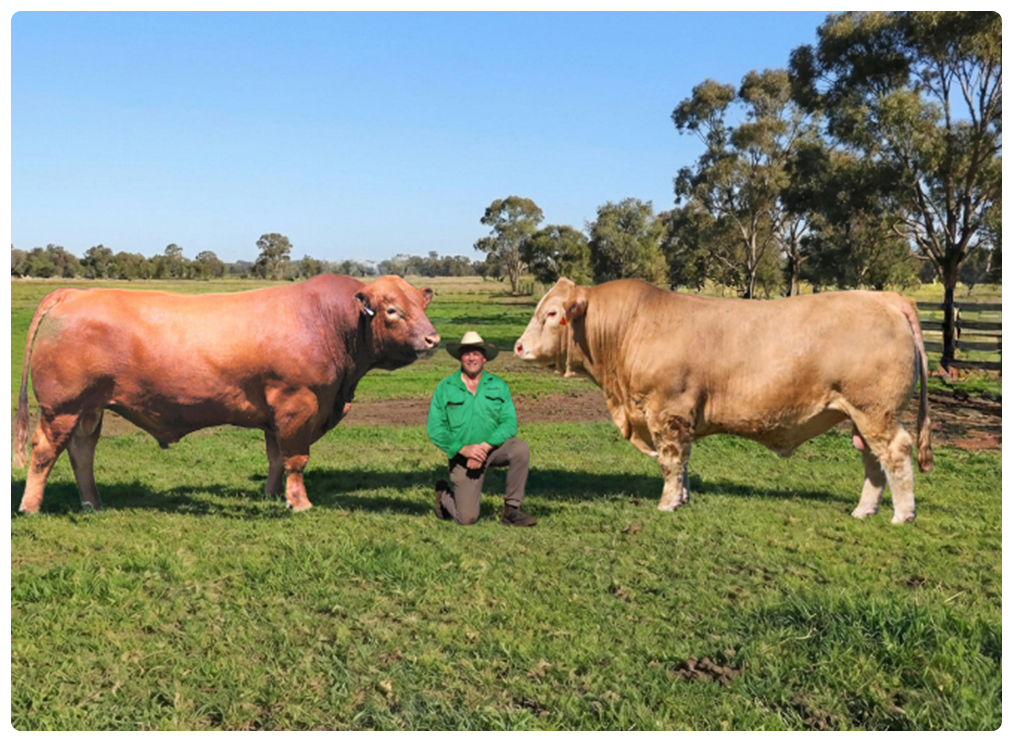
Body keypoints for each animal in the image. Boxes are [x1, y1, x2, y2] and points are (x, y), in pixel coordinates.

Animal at [13, 274, 440, 514]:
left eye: (420, 305)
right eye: (391, 310)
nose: (433, 339)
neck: (329, 322)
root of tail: (74, 292)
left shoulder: (276, 412)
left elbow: (275, 458)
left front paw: (272, 497)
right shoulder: (299, 403)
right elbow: (296, 458)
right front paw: (299, 503)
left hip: (90, 408)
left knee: (81, 451)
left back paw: (93, 505)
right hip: (62, 406)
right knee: (45, 451)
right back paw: (31, 507)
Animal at [514, 278, 933, 524]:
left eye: (551, 313)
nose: (518, 346)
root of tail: (887, 298)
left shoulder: (666, 411)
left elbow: (670, 461)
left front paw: (667, 503)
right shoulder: (680, 417)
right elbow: (683, 462)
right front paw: (682, 498)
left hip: (875, 411)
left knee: (895, 452)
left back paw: (902, 515)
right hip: (861, 415)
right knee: (872, 458)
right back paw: (864, 510)